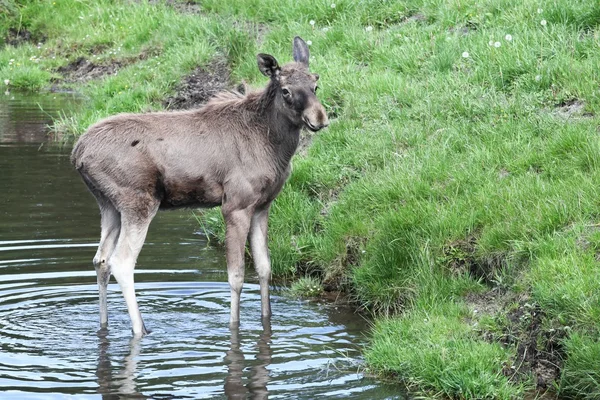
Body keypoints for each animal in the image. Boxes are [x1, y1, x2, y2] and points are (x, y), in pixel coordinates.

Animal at [74, 36, 332, 334]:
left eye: (315, 83)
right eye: (287, 91)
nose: (320, 118)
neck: (274, 146)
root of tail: (77, 153)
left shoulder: (263, 205)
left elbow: (264, 268)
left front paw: (266, 321)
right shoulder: (235, 205)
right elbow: (236, 276)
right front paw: (234, 326)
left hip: (109, 205)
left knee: (101, 260)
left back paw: (104, 325)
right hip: (138, 201)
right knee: (122, 262)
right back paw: (141, 329)